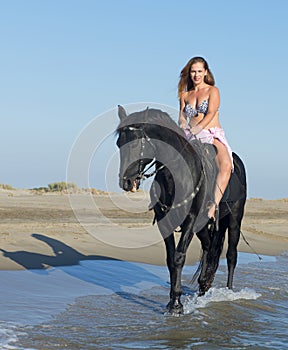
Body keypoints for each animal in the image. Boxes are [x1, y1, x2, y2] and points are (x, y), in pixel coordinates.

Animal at [116, 106, 246, 314]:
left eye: (136, 145)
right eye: (119, 143)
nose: (127, 182)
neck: (176, 174)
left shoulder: (190, 220)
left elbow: (179, 257)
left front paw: (176, 304)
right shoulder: (164, 220)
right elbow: (170, 258)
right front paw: (172, 300)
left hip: (234, 219)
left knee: (231, 255)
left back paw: (229, 292)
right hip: (203, 225)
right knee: (209, 246)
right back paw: (203, 286)